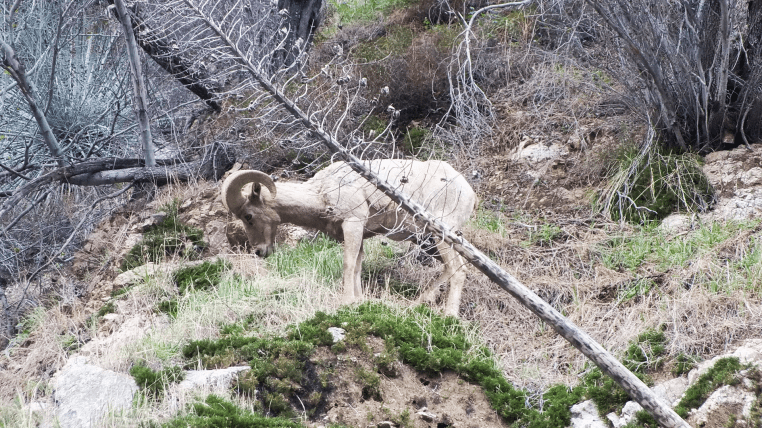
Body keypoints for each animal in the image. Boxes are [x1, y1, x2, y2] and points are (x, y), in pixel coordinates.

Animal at [221, 159, 477, 316]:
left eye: (248, 216)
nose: (259, 251)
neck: (321, 193)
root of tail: (467, 191)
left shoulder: (352, 225)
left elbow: (347, 264)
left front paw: (346, 302)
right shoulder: (359, 235)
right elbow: (357, 267)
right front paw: (358, 301)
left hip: (441, 236)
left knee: (458, 269)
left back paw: (449, 315)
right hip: (429, 241)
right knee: (451, 268)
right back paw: (417, 304)